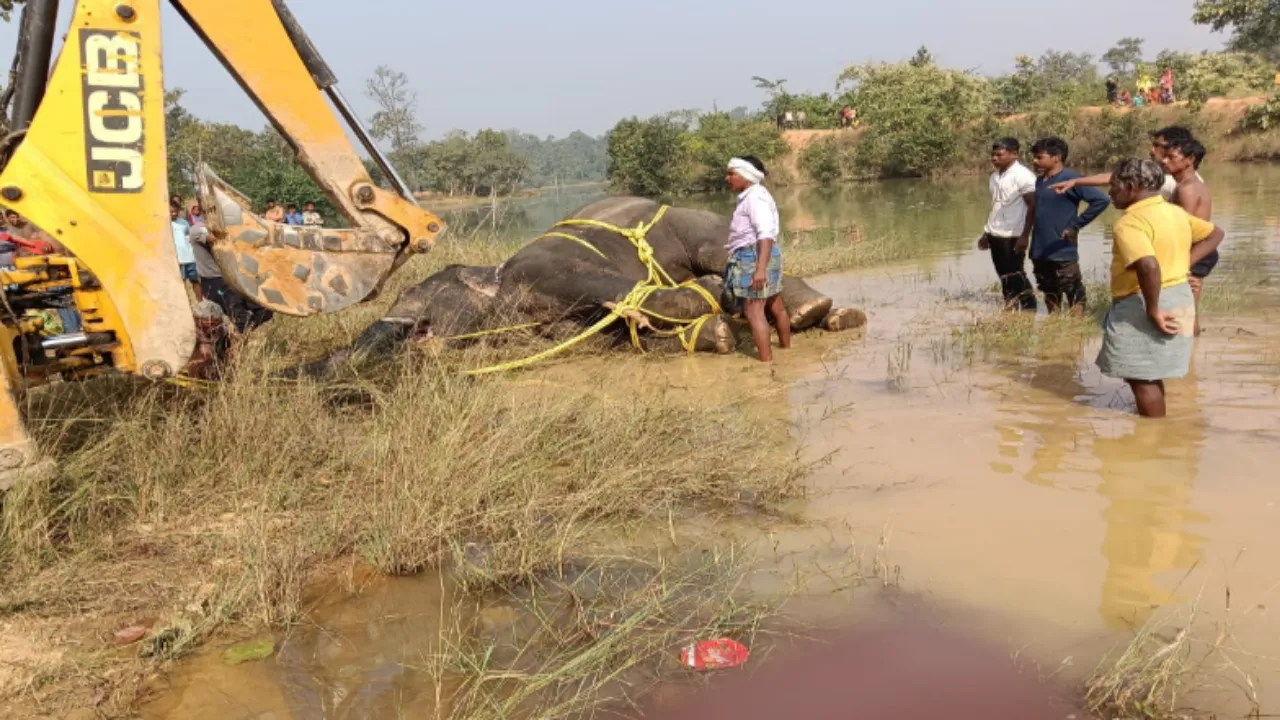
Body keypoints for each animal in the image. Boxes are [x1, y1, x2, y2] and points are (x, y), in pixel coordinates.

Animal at [302, 196, 870, 376]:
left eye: (410, 294)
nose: (377, 331)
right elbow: (623, 332)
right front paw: (716, 333)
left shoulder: (551, 269)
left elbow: (623, 289)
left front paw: (710, 293)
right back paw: (829, 316)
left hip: (699, 225)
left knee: (726, 254)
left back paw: (814, 309)